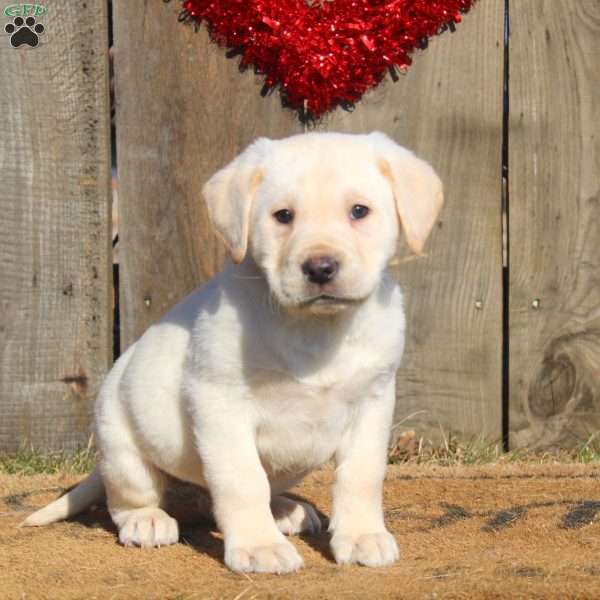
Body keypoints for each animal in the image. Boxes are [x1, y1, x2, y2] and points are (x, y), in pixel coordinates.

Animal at [22, 132, 440, 576]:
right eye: (283, 216)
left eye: (359, 211)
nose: (320, 268)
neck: (315, 329)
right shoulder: (219, 403)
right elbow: (242, 480)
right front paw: (259, 546)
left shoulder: (372, 403)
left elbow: (361, 475)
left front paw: (361, 536)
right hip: (121, 447)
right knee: (131, 498)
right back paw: (147, 520)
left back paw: (284, 510)